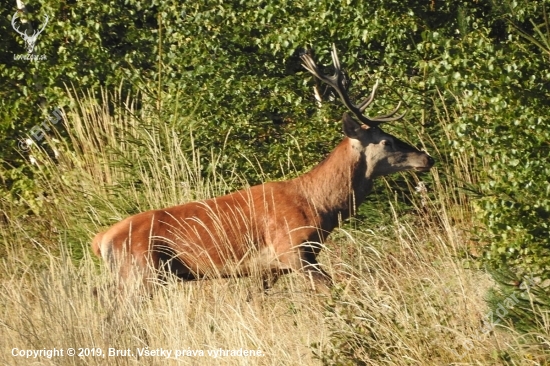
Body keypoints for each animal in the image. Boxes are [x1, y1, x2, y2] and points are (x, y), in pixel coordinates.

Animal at [91, 45, 436, 298]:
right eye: (387, 141)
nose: (426, 158)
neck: (318, 205)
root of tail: (101, 238)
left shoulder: (268, 268)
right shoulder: (292, 249)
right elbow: (331, 288)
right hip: (141, 273)